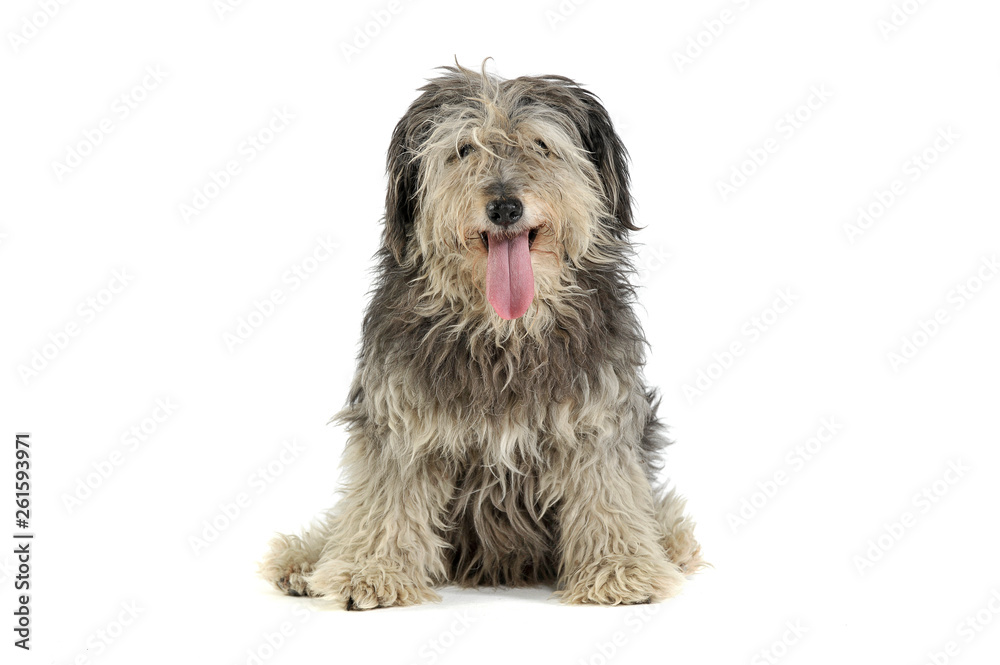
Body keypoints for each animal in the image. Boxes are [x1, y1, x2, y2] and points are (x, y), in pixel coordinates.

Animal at [262, 62, 708, 608]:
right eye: (464, 149)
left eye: (540, 145)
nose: (504, 207)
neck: (504, 329)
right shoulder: (401, 422)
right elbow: (385, 498)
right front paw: (371, 570)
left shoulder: (596, 419)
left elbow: (607, 492)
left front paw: (620, 568)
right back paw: (307, 561)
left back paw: (669, 544)